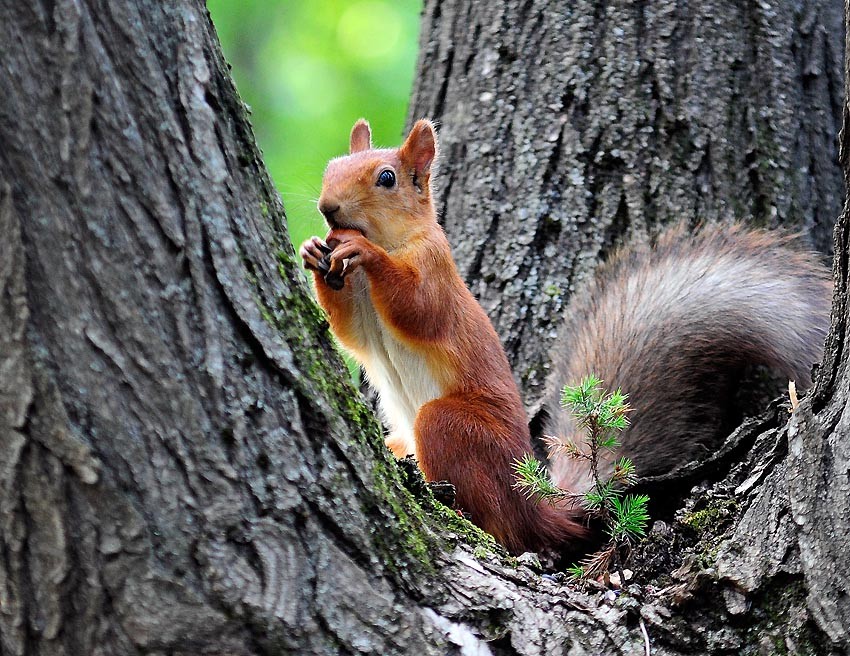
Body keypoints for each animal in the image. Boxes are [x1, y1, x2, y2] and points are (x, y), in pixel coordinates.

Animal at [300, 118, 831, 555]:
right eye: (331, 167)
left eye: (386, 178)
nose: (327, 208)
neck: (387, 246)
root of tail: (535, 500)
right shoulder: (360, 313)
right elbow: (352, 334)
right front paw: (312, 251)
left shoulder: (436, 269)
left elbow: (418, 309)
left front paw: (361, 250)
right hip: (406, 439)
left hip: (455, 429)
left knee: (498, 520)